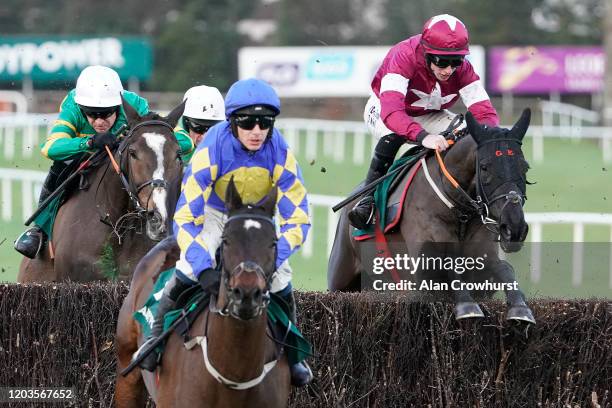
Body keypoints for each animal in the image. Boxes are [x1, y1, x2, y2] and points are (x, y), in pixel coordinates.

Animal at [19, 99, 186, 284]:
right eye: (133, 153)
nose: (158, 218)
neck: (119, 230)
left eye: (178, 154)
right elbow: (53, 143)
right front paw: (101, 139)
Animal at [330, 109, 536, 326]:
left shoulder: (482, 265)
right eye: (485, 167)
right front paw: (468, 307)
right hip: (340, 275)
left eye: (525, 167)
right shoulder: (424, 268)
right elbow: (447, 268)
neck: (459, 211)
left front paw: (521, 308)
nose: (514, 228)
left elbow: (505, 269)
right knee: (389, 138)